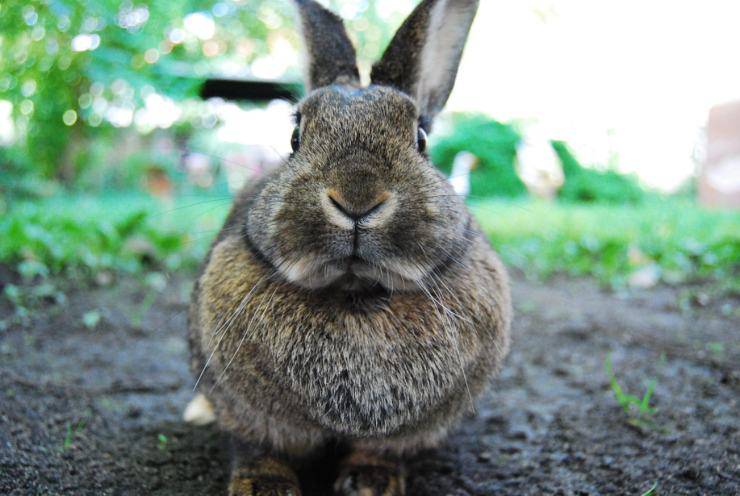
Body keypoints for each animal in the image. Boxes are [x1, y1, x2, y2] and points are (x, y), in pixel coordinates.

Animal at [185, 1, 512, 494]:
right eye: (296, 138)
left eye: (421, 139)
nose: (357, 197)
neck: (355, 292)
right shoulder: (244, 411)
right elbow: (257, 447)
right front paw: (264, 486)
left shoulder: (404, 433)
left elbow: (380, 450)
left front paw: (370, 482)